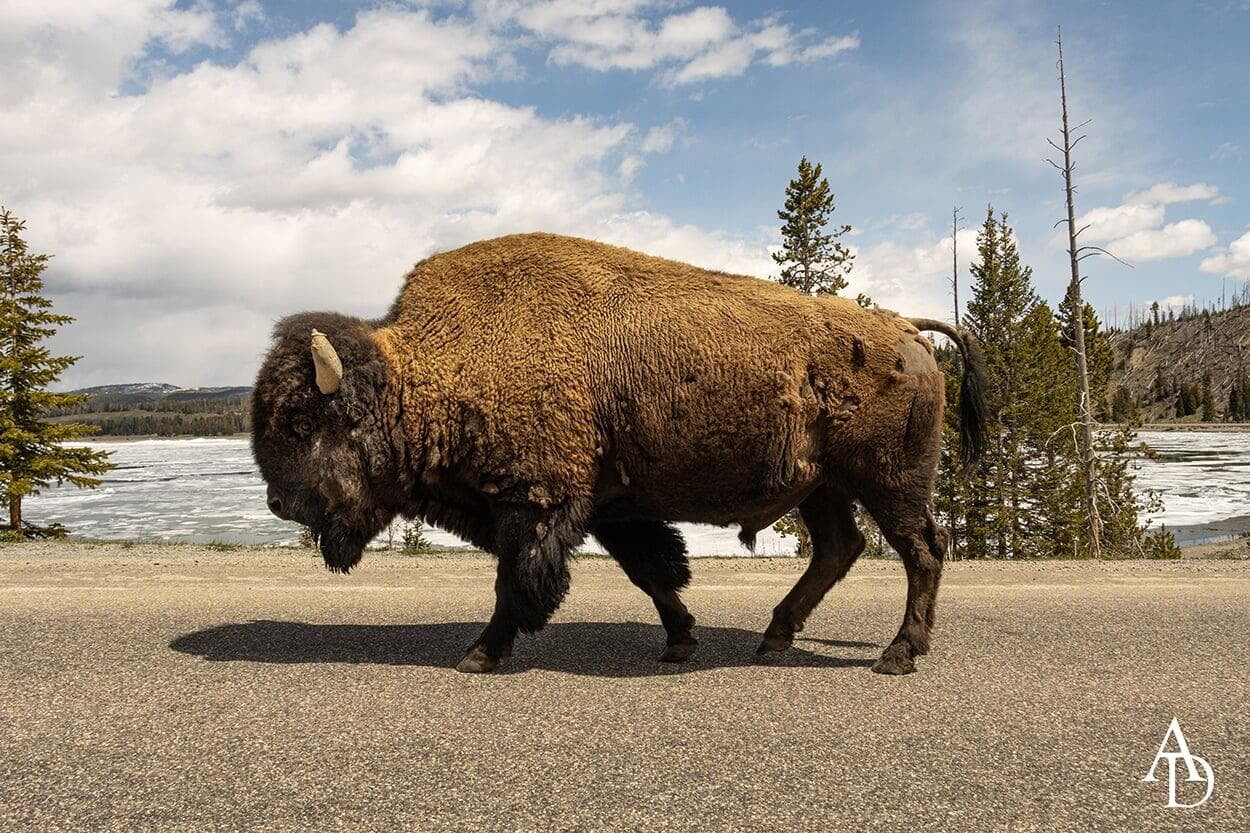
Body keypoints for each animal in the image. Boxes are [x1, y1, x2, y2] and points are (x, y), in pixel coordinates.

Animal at [252, 233, 986, 674]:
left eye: (302, 421)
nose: (279, 501)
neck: (431, 366)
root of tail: (904, 327)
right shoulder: (613, 508)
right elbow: (652, 573)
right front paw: (680, 641)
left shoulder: (535, 503)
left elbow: (515, 581)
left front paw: (479, 654)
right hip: (822, 486)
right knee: (841, 547)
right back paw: (774, 637)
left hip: (889, 479)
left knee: (923, 548)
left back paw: (897, 654)